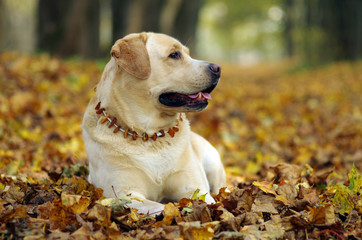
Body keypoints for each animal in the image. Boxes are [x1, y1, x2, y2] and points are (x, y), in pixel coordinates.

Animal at [82, 32, 226, 214]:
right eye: (174, 55)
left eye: (188, 53)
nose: (218, 68)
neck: (150, 134)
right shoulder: (124, 194)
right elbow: (160, 207)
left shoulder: (195, 188)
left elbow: (207, 200)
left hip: (213, 163)